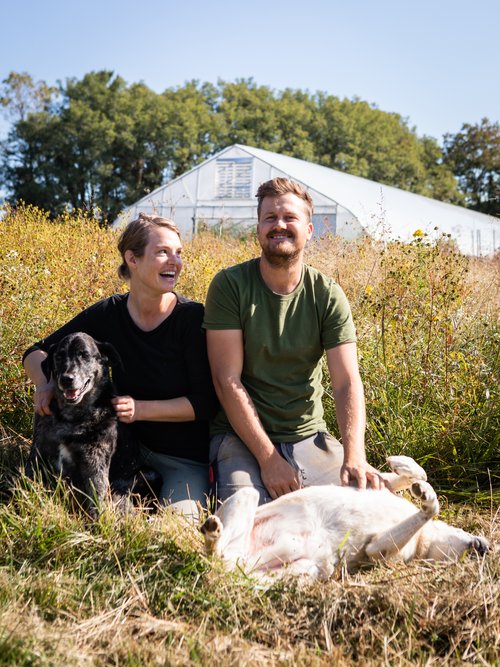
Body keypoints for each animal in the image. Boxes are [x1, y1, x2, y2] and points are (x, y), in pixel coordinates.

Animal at [24, 332, 160, 516]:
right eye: (59, 356)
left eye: (85, 355)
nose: (66, 379)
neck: (71, 417)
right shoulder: (38, 450)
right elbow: (27, 479)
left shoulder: (95, 462)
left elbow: (97, 498)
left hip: (150, 474)